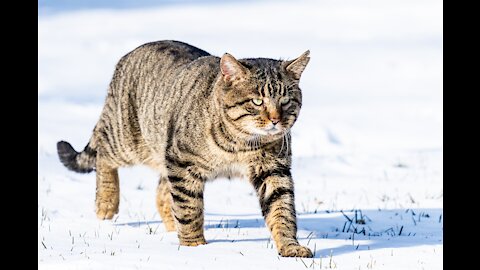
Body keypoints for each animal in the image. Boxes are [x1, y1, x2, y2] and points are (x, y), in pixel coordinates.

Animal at [57, 40, 312, 258]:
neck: (239, 145)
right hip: (126, 140)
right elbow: (190, 209)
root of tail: (128, 55)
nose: (276, 120)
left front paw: (290, 246)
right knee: (103, 153)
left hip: (161, 151)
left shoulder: (273, 170)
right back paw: (106, 204)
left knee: (162, 194)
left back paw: (170, 227)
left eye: (286, 101)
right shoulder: (183, 164)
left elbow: (281, 210)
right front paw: (194, 247)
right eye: (257, 101)